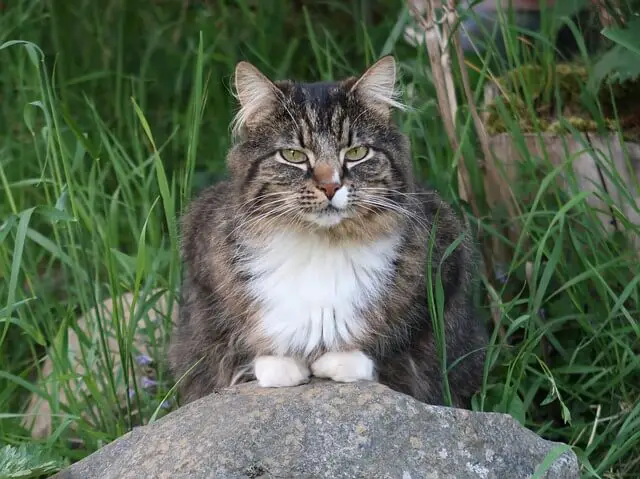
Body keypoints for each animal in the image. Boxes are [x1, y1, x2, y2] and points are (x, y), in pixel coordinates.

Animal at [168, 55, 488, 408]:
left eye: (356, 153)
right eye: (293, 155)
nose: (331, 186)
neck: (321, 245)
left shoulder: (443, 272)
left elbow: (400, 350)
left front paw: (340, 361)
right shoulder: (203, 274)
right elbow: (232, 345)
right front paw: (280, 366)